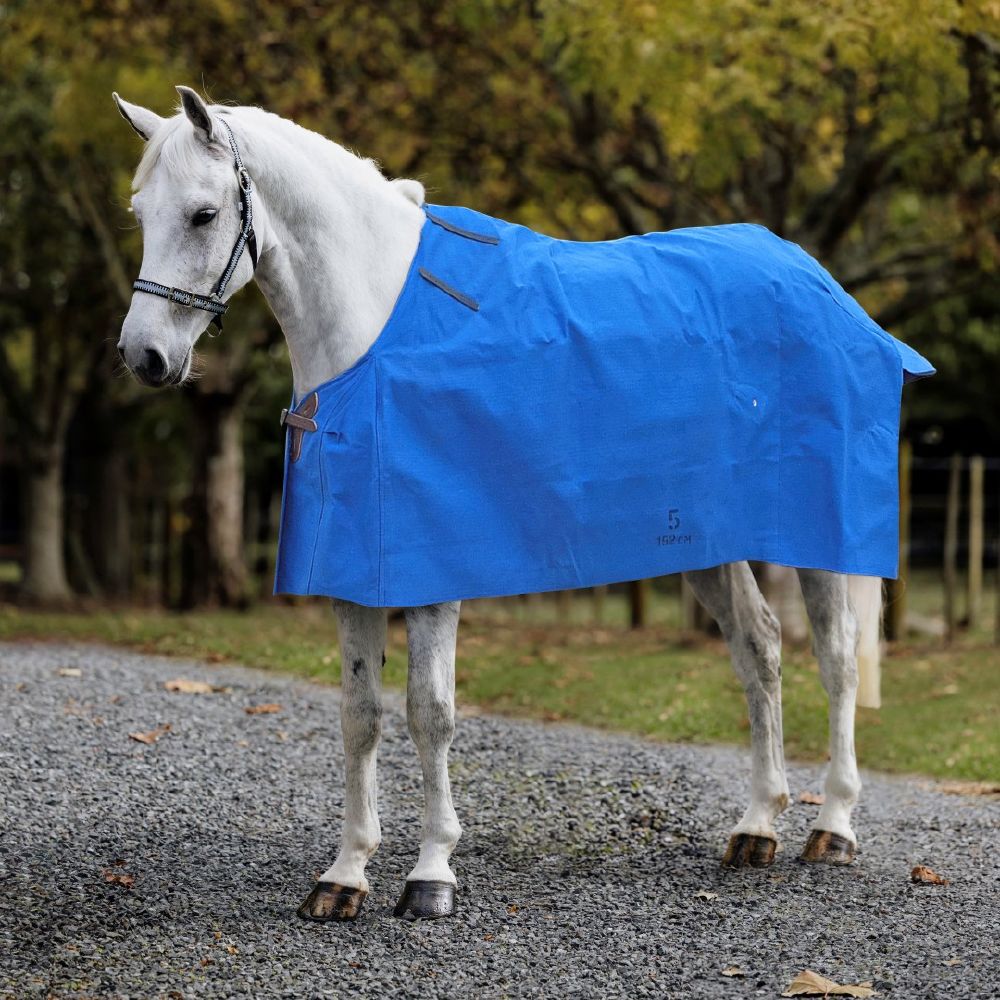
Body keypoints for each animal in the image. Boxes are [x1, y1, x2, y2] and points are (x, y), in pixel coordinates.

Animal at [113, 86, 891, 923]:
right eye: (140, 213)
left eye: (202, 214)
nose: (144, 356)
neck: (379, 331)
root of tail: (814, 277)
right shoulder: (352, 574)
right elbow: (360, 717)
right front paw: (345, 875)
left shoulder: (431, 575)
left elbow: (430, 714)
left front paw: (431, 875)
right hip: (706, 541)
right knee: (761, 648)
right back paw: (757, 827)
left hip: (816, 537)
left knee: (837, 660)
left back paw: (833, 827)